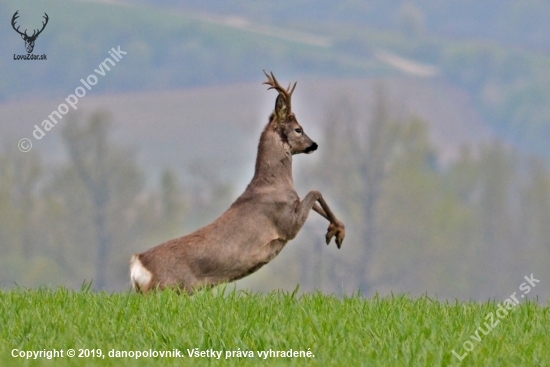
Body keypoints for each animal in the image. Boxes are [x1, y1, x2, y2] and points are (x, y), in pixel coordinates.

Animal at [130, 72, 344, 294]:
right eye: (298, 129)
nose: (314, 145)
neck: (274, 184)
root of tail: (138, 265)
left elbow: (311, 199)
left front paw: (338, 229)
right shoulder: (286, 224)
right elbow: (315, 192)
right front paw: (336, 232)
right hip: (170, 288)